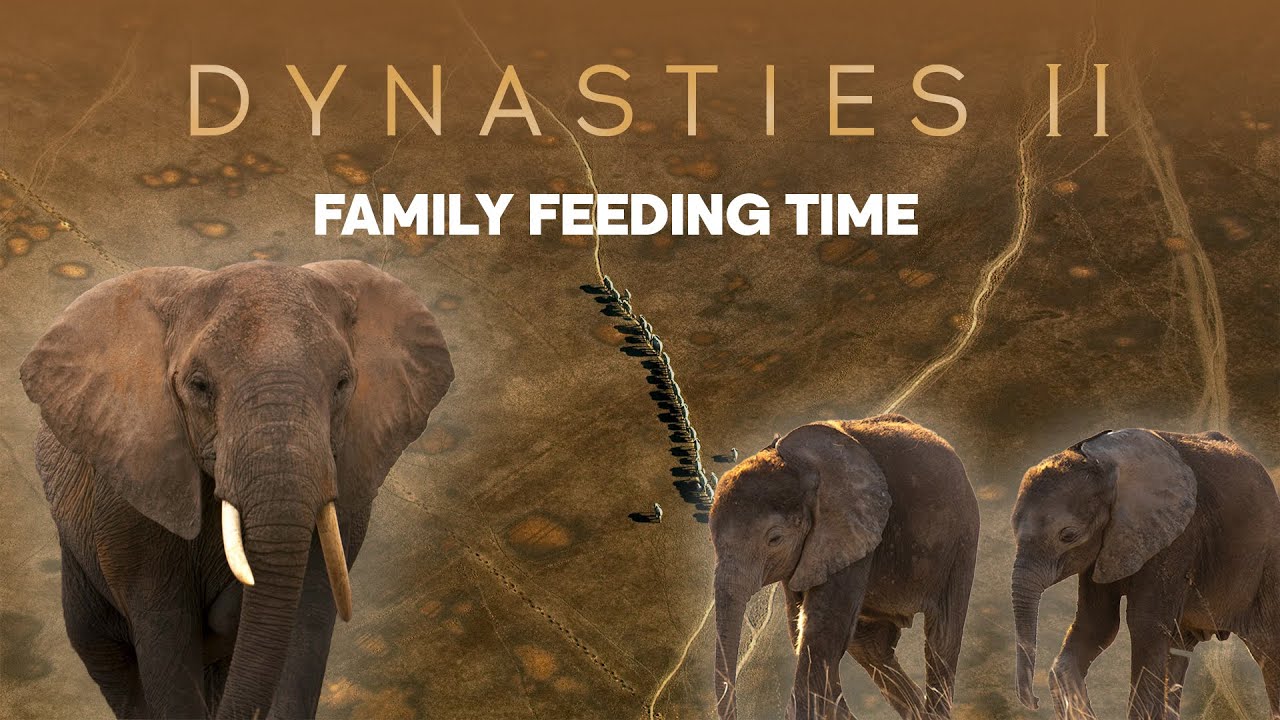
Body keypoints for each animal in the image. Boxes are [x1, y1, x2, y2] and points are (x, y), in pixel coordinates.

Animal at [20, 260, 453, 719]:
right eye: (199, 386)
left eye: (341, 384)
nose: (236, 585)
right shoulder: (130, 512)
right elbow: (165, 638)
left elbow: (308, 624)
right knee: (112, 664)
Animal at [710, 415, 980, 720]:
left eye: (774, 539)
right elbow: (803, 630)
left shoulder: (848, 529)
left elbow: (821, 634)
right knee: (871, 649)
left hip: (962, 538)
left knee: (941, 638)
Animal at [1010, 428, 1280, 720]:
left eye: (1068, 535)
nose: (1034, 701)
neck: (1107, 464)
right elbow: (1097, 625)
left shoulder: (1177, 535)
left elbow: (1144, 625)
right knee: (1177, 649)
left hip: (1267, 565)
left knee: (1269, 651)